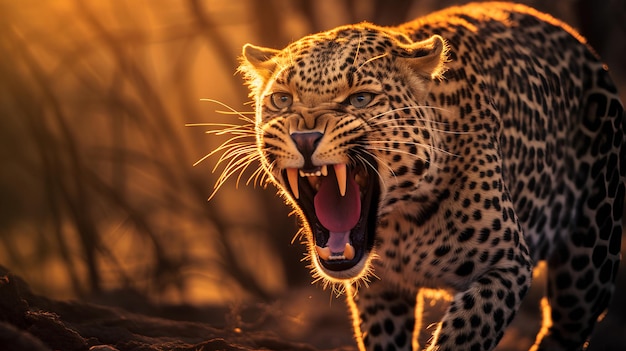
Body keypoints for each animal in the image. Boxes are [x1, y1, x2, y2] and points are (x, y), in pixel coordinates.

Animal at [219, 2, 624, 351]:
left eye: (361, 99)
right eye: (282, 99)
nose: (305, 138)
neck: (400, 224)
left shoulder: (507, 265)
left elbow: (463, 335)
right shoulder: (380, 289)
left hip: (588, 264)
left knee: (565, 327)